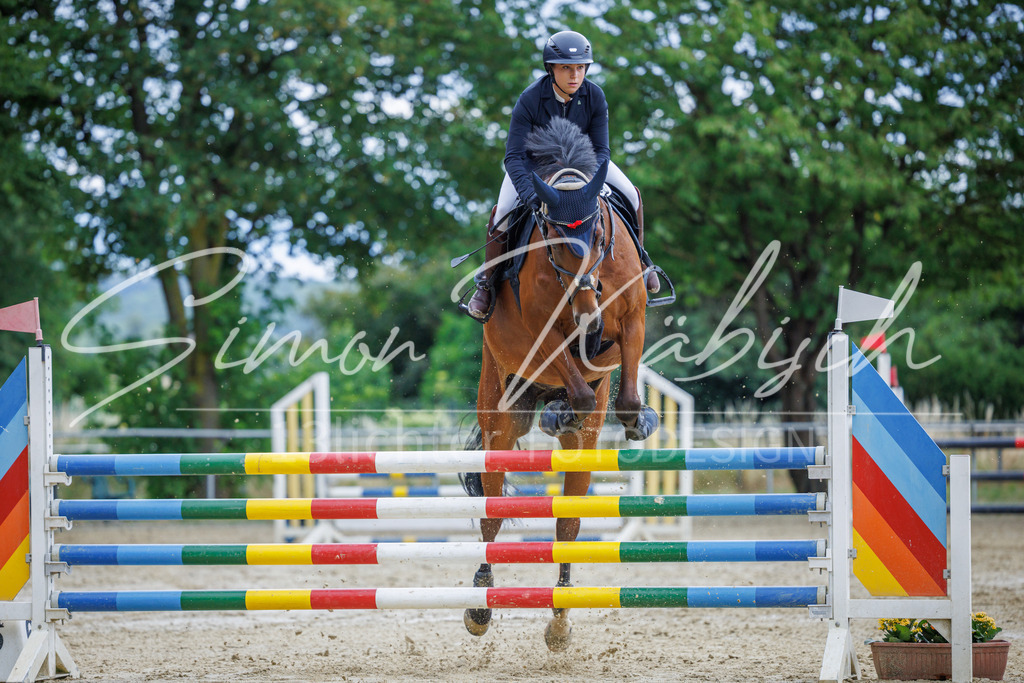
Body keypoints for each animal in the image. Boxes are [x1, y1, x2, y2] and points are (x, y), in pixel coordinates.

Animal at [461, 118, 660, 651]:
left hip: (579, 450)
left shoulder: (629, 321)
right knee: (490, 512)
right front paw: (565, 407)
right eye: (549, 231)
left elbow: (619, 390)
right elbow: (578, 378)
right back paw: (480, 605)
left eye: (598, 228)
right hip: (500, 414)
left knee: (567, 520)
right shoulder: (543, 330)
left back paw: (560, 617)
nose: (585, 298)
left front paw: (639, 419)